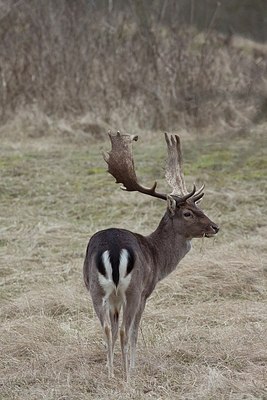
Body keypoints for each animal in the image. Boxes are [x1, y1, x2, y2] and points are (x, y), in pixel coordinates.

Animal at [84, 131, 220, 382]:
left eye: (200, 207)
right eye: (188, 213)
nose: (215, 227)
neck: (157, 255)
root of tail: (114, 249)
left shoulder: (113, 298)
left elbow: (113, 328)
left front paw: (114, 366)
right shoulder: (146, 292)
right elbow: (135, 331)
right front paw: (132, 366)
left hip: (95, 289)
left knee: (107, 328)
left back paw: (111, 373)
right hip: (133, 289)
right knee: (126, 330)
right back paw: (127, 376)